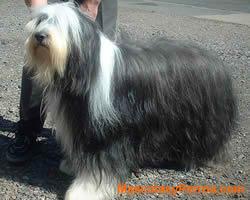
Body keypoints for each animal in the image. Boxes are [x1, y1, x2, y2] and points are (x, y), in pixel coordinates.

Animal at [24, 1, 237, 200]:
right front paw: (71, 166)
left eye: (60, 24)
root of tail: (216, 62)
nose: (39, 36)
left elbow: (99, 165)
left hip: (199, 118)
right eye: (41, 20)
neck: (85, 68)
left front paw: (85, 190)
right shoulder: (79, 122)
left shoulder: (106, 132)